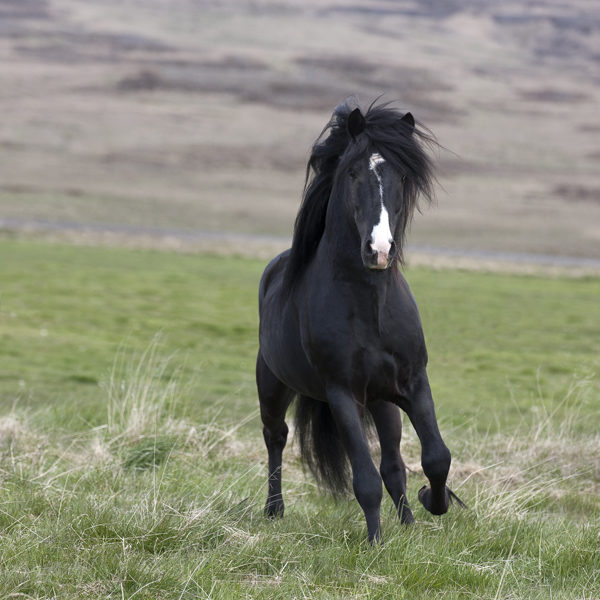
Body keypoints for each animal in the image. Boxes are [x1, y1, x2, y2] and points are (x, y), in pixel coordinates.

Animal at [255, 101, 462, 540]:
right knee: (275, 438)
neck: (370, 307)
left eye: (401, 175)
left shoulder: (413, 383)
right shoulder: (343, 395)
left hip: (382, 402)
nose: (379, 250)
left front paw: (430, 504)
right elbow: (364, 479)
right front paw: (375, 542)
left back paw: (408, 521)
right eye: (352, 172)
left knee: (394, 465)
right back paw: (274, 510)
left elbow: (435, 457)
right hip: (273, 385)